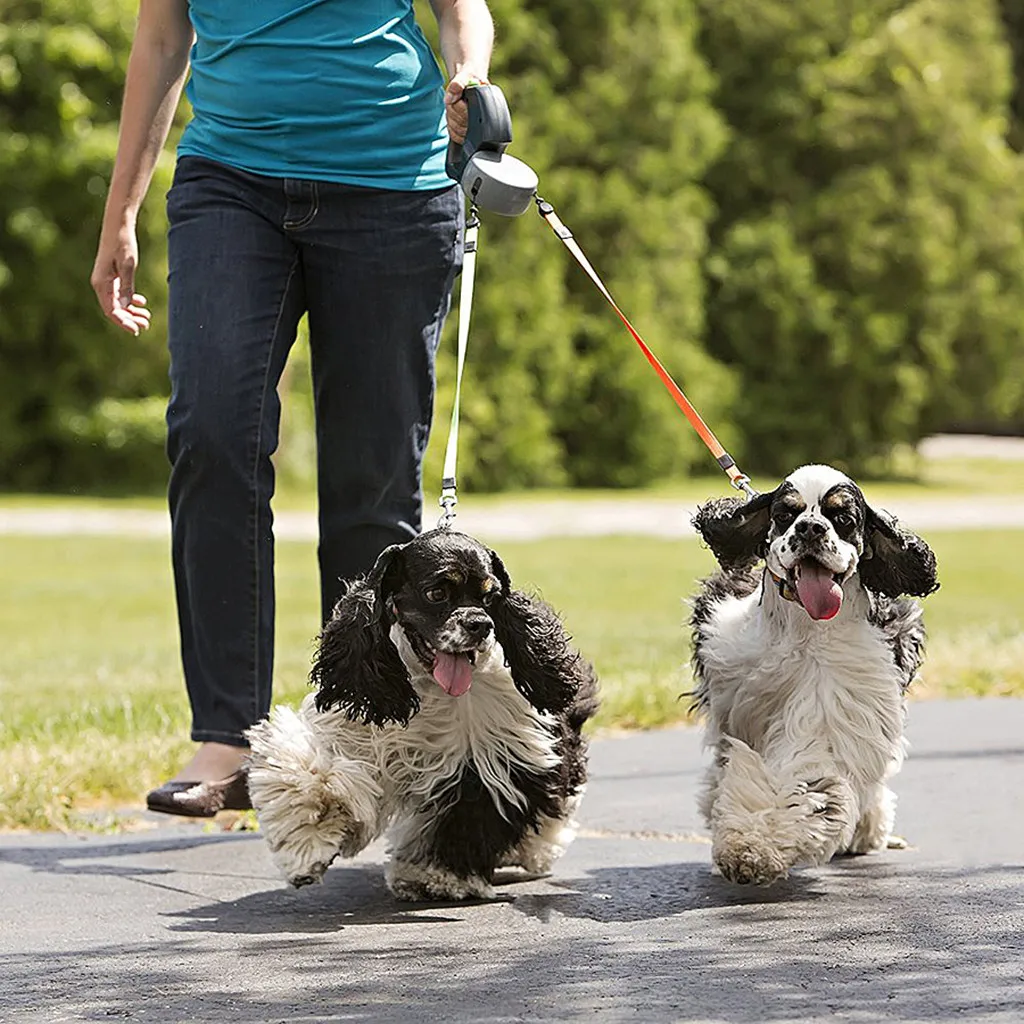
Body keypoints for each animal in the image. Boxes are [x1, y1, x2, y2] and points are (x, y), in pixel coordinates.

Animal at [247, 528, 598, 905]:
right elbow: (312, 776)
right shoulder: (356, 732)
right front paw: (307, 847)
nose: (480, 624)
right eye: (437, 593)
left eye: (491, 596)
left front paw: (433, 877)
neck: (429, 686)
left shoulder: (491, 757)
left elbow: (467, 816)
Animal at [688, 466, 937, 888]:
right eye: (786, 513)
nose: (810, 528)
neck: (803, 629)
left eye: (843, 518)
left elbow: (803, 775)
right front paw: (745, 845)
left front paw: (756, 847)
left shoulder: (833, 708)